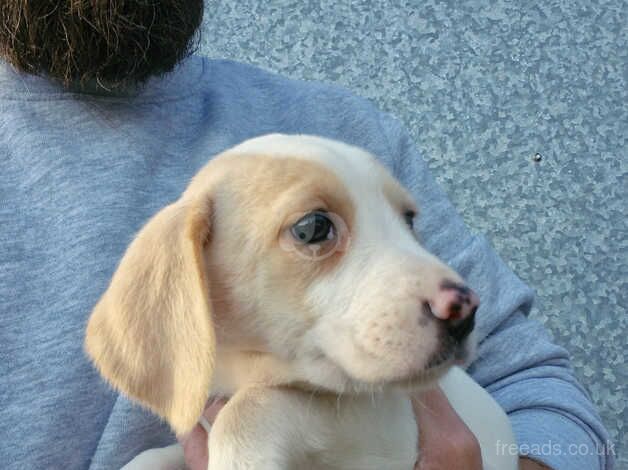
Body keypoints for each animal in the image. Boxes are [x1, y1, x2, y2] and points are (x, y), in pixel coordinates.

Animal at [84, 133, 516, 470]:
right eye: (313, 228)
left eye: (409, 220)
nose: (466, 310)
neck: (249, 370)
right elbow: (151, 455)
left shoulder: (381, 423)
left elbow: (257, 406)